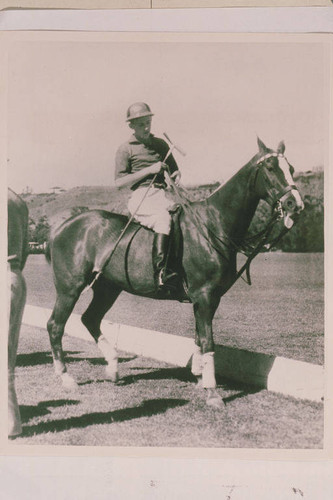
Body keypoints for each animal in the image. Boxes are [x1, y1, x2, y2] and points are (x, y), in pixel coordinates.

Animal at [46, 139, 304, 408]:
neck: (214, 225)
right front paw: (212, 392)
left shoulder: (208, 298)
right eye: (271, 168)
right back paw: (66, 377)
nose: (296, 205)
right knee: (55, 325)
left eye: (291, 168)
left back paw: (114, 368)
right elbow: (208, 341)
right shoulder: (205, 295)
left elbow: (200, 338)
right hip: (69, 287)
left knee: (90, 319)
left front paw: (200, 378)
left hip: (107, 288)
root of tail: (59, 228)